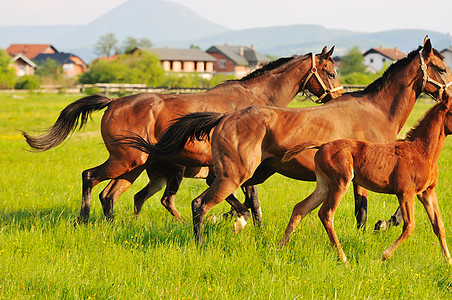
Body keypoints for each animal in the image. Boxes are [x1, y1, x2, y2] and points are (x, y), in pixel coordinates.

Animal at [20, 47, 340, 224]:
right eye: (331, 72)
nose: (337, 98)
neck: (256, 99)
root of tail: (114, 102)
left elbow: (248, 201)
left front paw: (234, 219)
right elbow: (249, 202)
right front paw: (237, 221)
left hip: (135, 166)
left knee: (109, 195)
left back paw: (116, 225)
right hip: (125, 160)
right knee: (90, 177)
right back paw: (84, 220)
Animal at [125, 36, 452, 241]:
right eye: (442, 68)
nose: (450, 95)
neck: (376, 111)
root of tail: (226, 117)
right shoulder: (371, 177)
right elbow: (366, 211)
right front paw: (380, 225)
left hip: (250, 172)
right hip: (234, 174)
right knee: (200, 203)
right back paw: (207, 239)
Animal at [278, 92, 452, 264]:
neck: (421, 153)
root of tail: (323, 145)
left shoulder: (427, 192)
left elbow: (439, 225)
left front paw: (448, 261)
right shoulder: (405, 192)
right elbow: (409, 226)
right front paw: (382, 257)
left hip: (324, 185)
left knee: (300, 208)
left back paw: (280, 247)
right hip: (340, 182)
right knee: (326, 213)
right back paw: (343, 258)